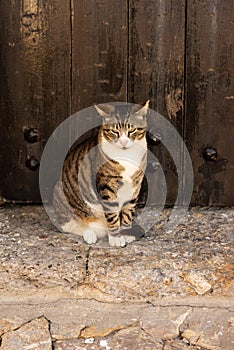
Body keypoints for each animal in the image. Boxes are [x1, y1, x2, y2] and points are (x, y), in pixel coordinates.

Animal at [52, 101, 148, 247]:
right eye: (114, 131)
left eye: (132, 130)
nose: (123, 142)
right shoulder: (107, 186)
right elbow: (112, 214)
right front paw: (115, 238)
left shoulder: (135, 186)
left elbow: (127, 213)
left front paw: (126, 233)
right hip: (61, 195)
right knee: (70, 225)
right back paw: (89, 233)